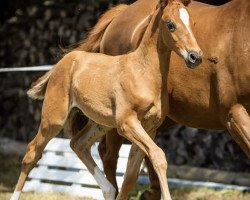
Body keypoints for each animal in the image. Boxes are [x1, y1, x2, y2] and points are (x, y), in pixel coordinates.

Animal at [11, 0, 201, 200]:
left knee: (78, 144)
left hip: (101, 124)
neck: (144, 72)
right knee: (32, 152)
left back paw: (108, 189)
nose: (195, 57)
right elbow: (158, 156)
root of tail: (62, 62)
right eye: (170, 24)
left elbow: (131, 176)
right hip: (54, 118)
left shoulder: (150, 128)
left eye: (192, 23)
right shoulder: (126, 123)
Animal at [63, 0, 250, 198]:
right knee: (108, 155)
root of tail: (120, 13)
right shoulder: (234, 112)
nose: (196, 57)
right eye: (171, 25)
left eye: (193, 24)